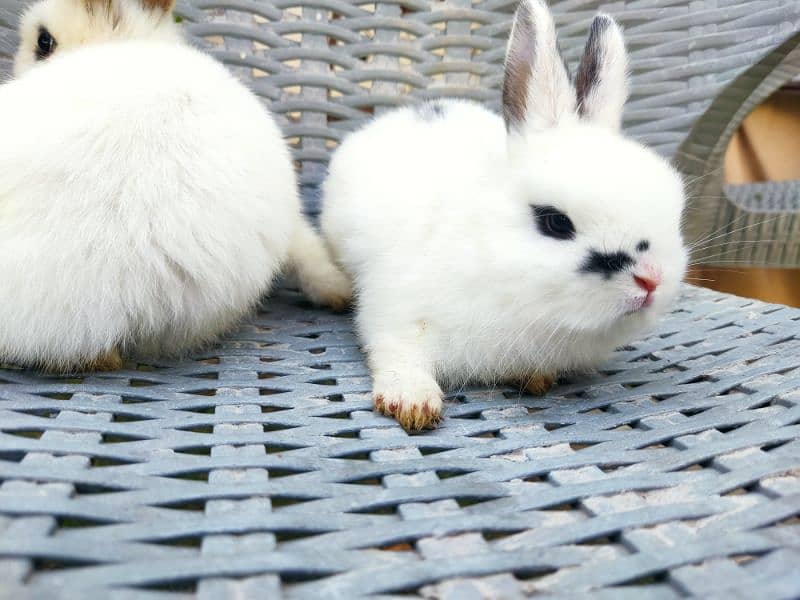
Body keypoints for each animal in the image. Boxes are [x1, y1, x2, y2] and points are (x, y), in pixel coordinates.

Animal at [318, 0, 688, 432]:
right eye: (555, 222)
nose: (651, 279)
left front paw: (535, 378)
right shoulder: (395, 316)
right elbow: (399, 356)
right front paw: (412, 403)